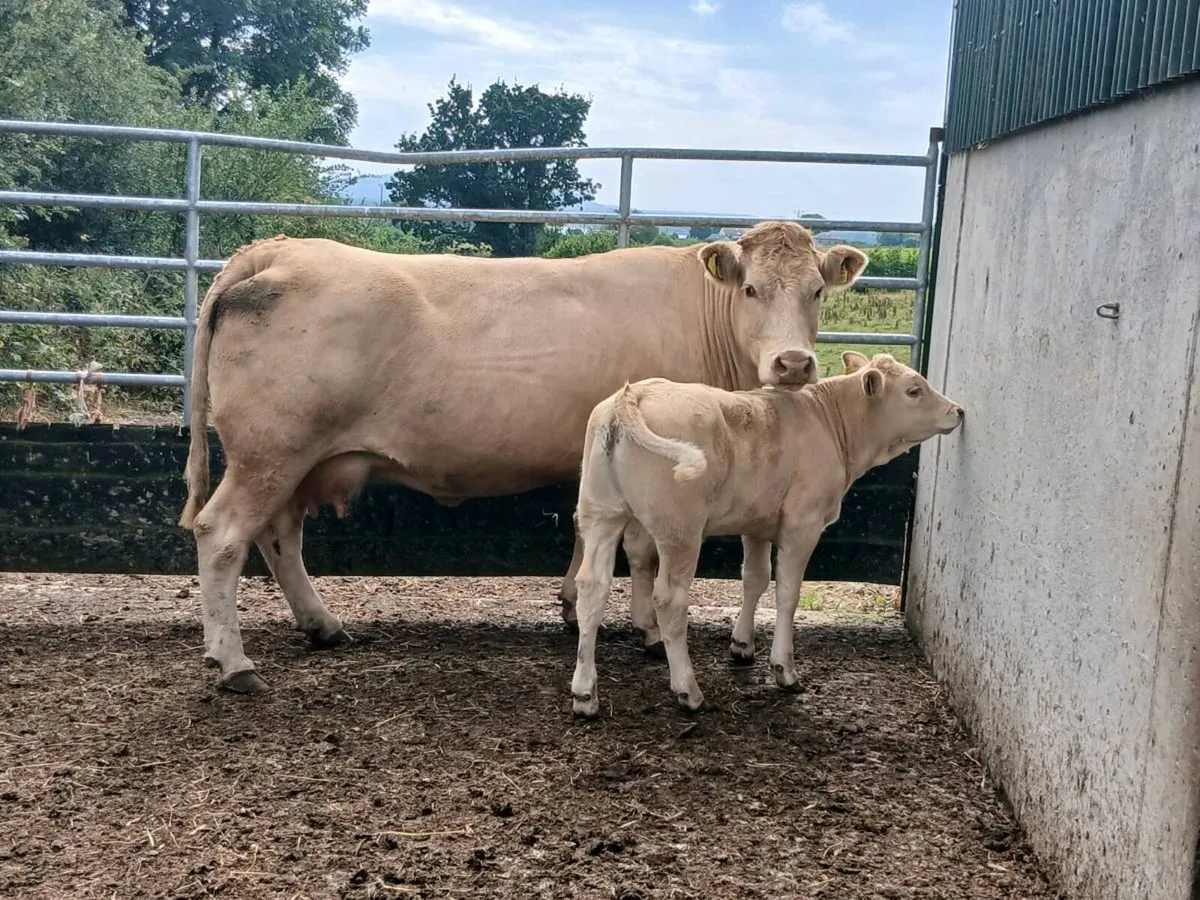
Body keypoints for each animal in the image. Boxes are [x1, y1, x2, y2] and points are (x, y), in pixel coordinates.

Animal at [178, 221, 869, 694]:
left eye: (816, 291)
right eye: (751, 289)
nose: (793, 364)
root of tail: (281, 247)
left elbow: (588, 537)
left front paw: (570, 603)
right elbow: (642, 552)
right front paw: (646, 629)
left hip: (290, 460)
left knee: (279, 537)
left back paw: (321, 624)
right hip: (269, 453)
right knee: (222, 535)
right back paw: (234, 662)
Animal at [568, 352, 965, 718]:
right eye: (914, 390)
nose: (958, 411)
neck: (829, 420)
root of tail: (632, 394)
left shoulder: (756, 522)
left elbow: (755, 579)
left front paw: (742, 645)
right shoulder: (802, 523)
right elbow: (787, 593)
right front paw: (784, 669)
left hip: (601, 514)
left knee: (593, 588)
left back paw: (585, 693)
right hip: (680, 530)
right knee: (669, 599)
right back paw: (688, 690)